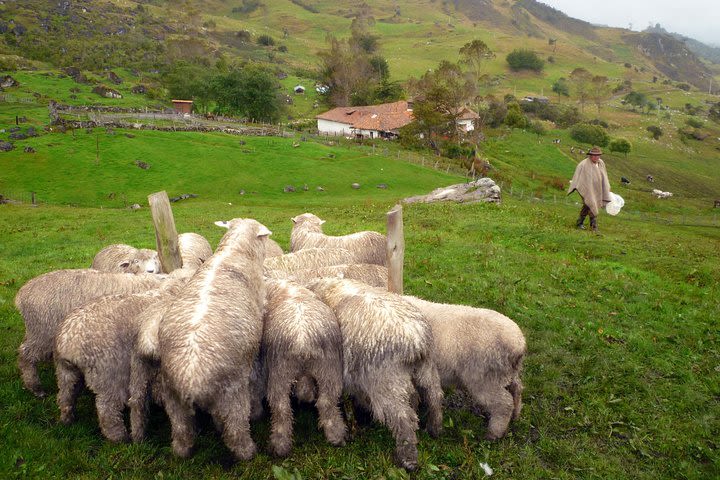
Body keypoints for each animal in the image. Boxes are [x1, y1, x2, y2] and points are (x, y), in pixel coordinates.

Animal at [157, 218, 270, 462]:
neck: (234, 251)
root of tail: (191, 379)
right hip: (232, 393)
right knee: (235, 430)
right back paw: (248, 452)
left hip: (173, 398)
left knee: (181, 433)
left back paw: (183, 452)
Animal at [262, 280, 346, 456]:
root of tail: (302, 339)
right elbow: (305, 391)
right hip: (329, 369)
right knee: (326, 403)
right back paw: (336, 435)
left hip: (279, 371)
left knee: (281, 408)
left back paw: (279, 446)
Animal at [306, 276, 442, 470]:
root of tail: (415, 340)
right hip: (427, 369)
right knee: (434, 396)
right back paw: (434, 428)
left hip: (386, 380)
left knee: (403, 416)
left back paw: (407, 458)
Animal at [402, 296, 524, 438]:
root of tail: (518, 345)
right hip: (507, 374)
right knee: (517, 388)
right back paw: (516, 415)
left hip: (484, 378)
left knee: (504, 404)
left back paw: (493, 434)